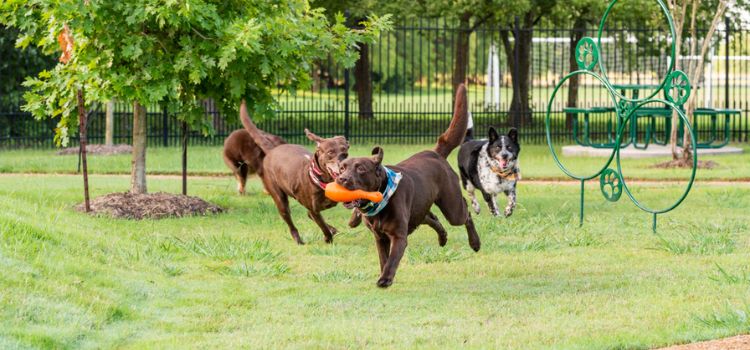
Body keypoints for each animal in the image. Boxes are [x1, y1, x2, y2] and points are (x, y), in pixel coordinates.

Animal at [239, 100, 352, 245]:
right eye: (330, 152)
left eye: (345, 153)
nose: (343, 166)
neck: (323, 181)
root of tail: (272, 150)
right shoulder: (313, 209)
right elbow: (322, 225)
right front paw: (328, 238)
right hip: (279, 198)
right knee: (290, 222)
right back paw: (299, 240)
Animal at [336, 85, 482, 288]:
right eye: (342, 168)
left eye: (361, 169)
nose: (341, 179)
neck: (381, 197)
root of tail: (435, 153)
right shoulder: (380, 238)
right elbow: (383, 259)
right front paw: (384, 276)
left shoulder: (398, 236)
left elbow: (392, 260)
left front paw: (385, 280)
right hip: (419, 208)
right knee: (431, 217)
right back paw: (443, 237)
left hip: (452, 208)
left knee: (466, 213)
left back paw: (475, 243)